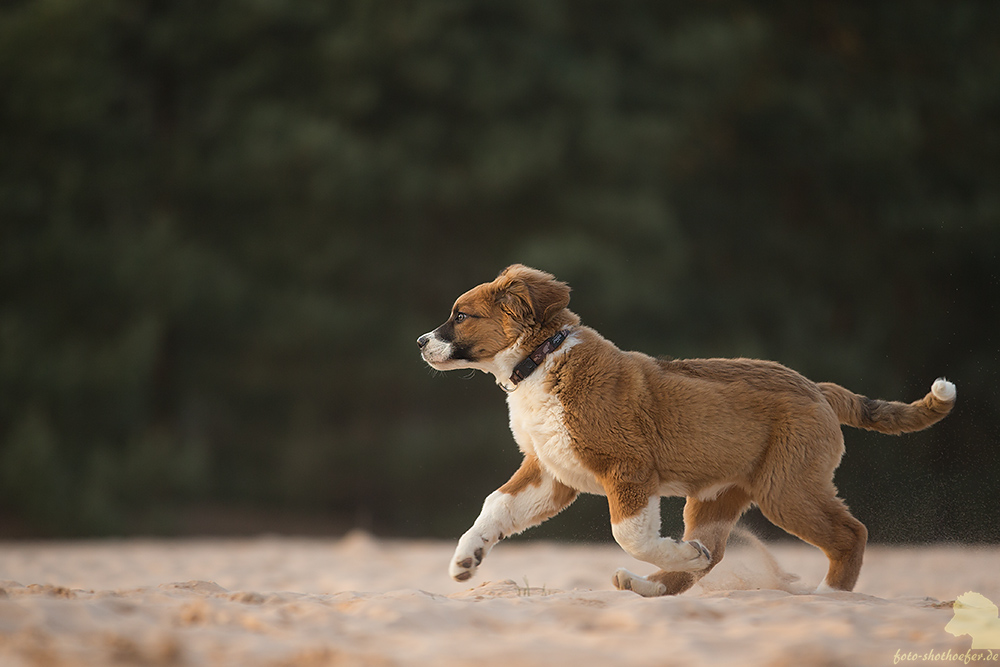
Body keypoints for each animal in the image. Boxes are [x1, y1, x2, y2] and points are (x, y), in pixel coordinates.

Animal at [414, 264, 952, 596]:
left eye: (461, 316)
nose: (420, 342)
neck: (542, 360)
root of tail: (817, 388)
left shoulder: (628, 469)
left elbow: (630, 533)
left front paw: (674, 552)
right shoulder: (551, 472)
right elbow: (496, 506)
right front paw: (466, 559)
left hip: (788, 487)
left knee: (851, 534)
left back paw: (829, 597)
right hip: (719, 494)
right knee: (714, 554)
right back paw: (652, 583)